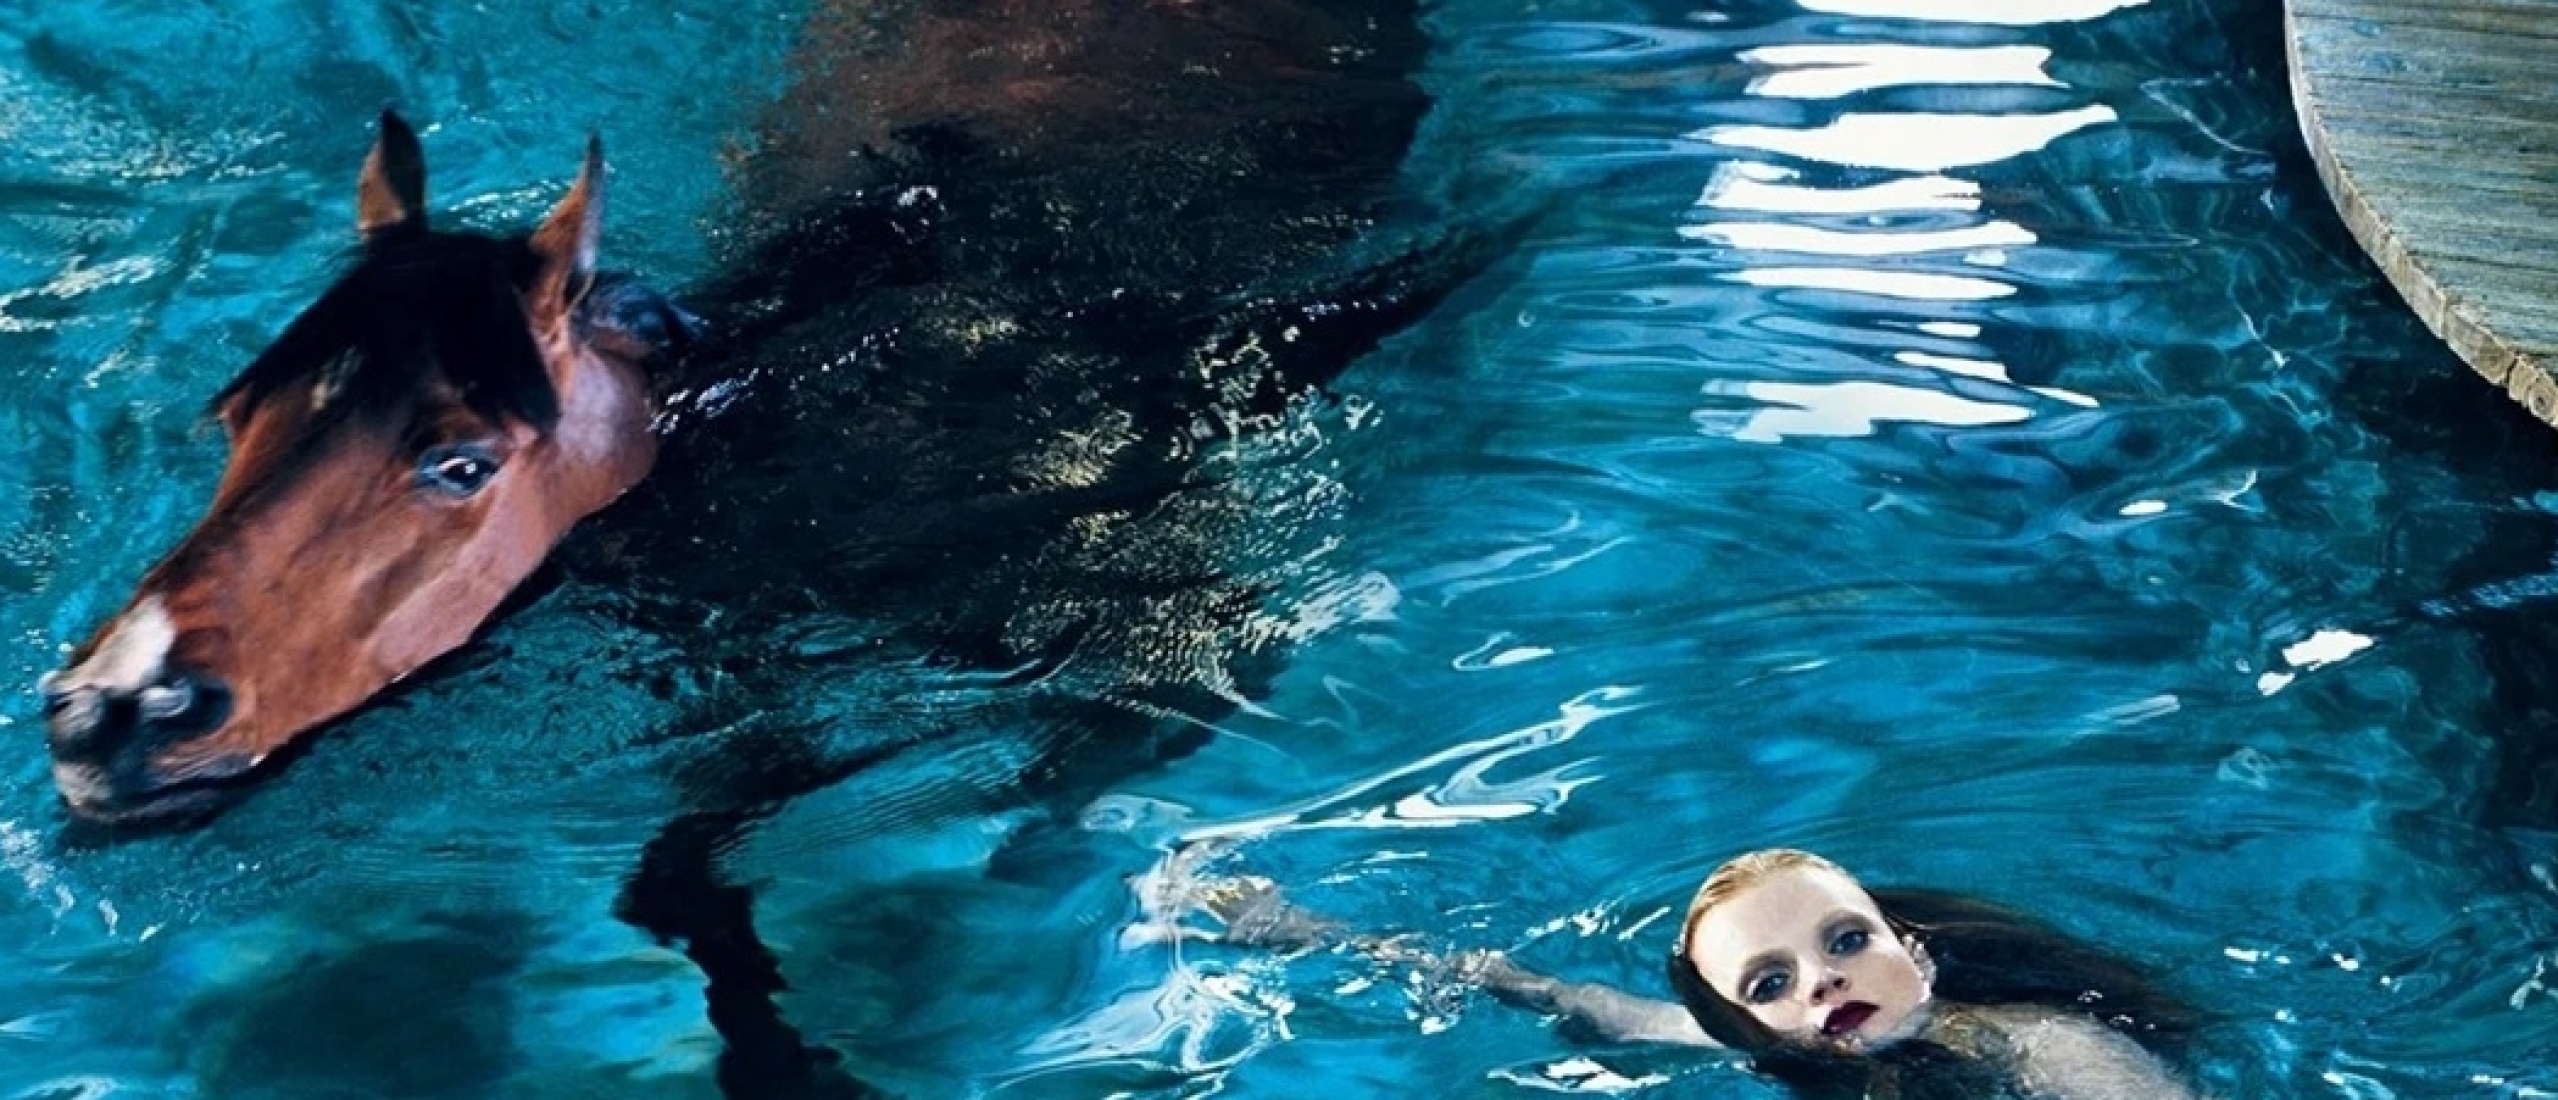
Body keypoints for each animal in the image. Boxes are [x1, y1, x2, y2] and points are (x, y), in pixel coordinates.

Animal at [35, 0, 1489, 1093]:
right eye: (236, 418)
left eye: (459, 462)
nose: (113, 705)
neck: (800, 425)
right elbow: (680, 880)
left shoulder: (1158, 608)